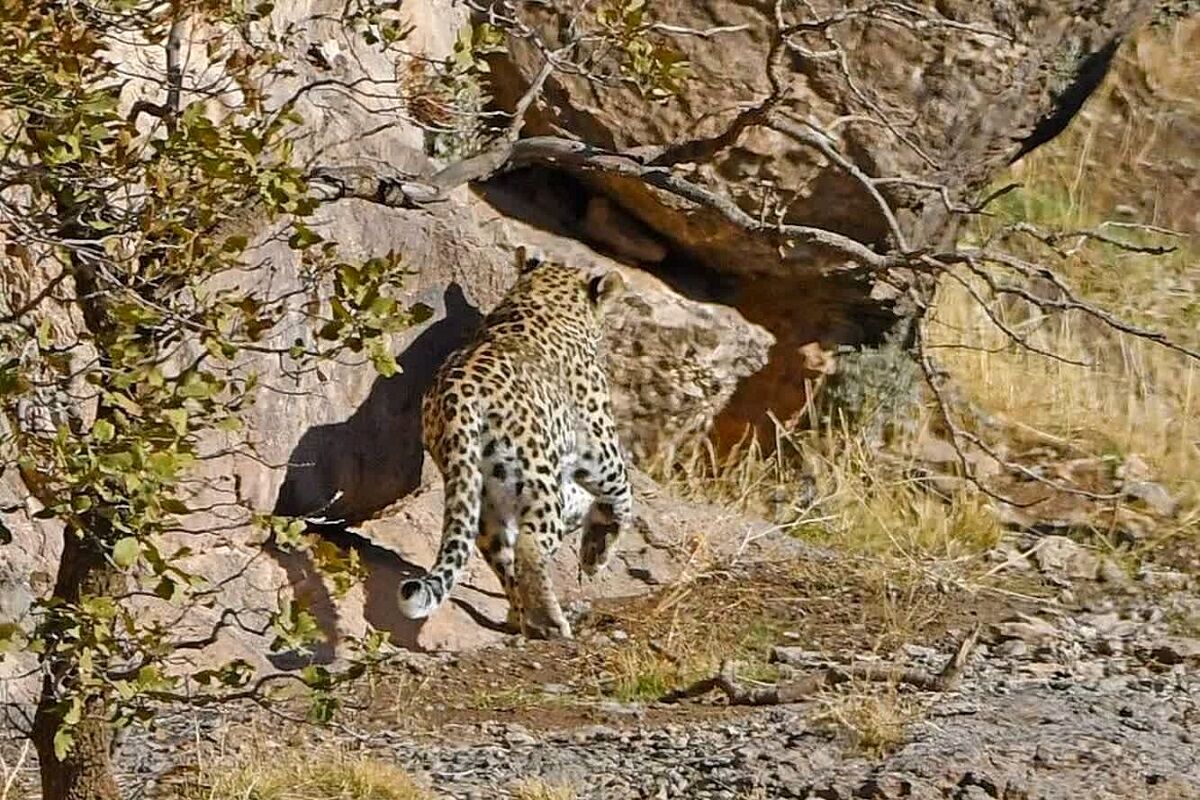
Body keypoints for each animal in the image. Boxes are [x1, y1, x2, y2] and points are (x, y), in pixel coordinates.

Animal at [396, 247, 638, 642]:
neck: (542, 297)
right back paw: (551, 623)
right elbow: (622, 496)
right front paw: (597, 552)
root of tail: (456, 401)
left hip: (483, 496)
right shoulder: (600, 449)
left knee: (504, 558)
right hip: (536, 477)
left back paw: (523, 618)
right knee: (530, 545)